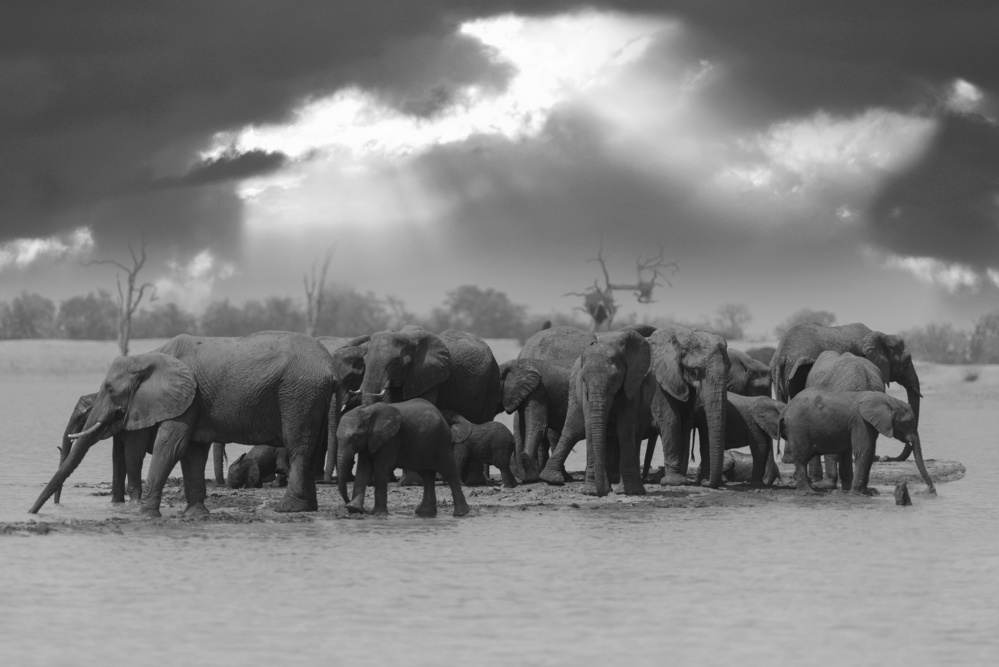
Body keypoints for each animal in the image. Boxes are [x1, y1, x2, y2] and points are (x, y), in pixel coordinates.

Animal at [30, 332, 337, 517]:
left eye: (109, 389)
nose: (31, 512)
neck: (150, 355)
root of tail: (330, 367)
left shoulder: (185, 398)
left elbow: (170, 447)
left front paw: (145, 515)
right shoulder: (191, 401)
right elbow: (191, 452)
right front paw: (195, 515)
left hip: (298, 395)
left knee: (299, 448)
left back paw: (287, 509)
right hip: (314, 398)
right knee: (312, 449)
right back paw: (307, 509)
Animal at [337, 399, 470, 517]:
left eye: (355, 437)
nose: (347, 503)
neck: (367, 411)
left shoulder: (392, 438)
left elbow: (381, 469)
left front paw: (379, 514)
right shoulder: (370, 440)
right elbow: (363, 469)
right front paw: (354, 508)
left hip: (442, 441)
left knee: (449, 471)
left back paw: (461, 514)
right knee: (427, 475)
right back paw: (425, 513)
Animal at [539, 329, 653, 497]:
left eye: (615, 378)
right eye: (583, 380)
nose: (601, 494)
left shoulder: (632, 385)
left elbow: (625, 428)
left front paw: (629, 492)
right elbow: (589, 427)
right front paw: (591, 491)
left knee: (634, 435)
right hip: (573, 391)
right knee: (574, 429)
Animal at [779, 388, 936, 496]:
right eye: (907, 422)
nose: (931, 491)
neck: (888, 400)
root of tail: (785, 409)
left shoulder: (869, 424)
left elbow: (870, 452)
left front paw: (870, 492)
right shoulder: (861, 422)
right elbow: (865, 451)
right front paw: (857, 494)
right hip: (798, 427)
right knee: (801, 459)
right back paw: (808, 493)